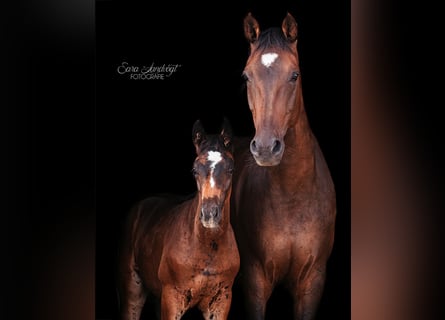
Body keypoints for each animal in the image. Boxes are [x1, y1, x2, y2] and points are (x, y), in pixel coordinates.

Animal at [116, 119, 238, 318]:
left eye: (230, 169)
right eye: (194, 170)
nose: (209, 214)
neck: (206, 246)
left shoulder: (221, 302)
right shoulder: (172, 298)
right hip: (132, 291)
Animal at [231, 12, 334, 320]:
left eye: (294, 75)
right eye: (246, 76)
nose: (266, 148)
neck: (293, 196)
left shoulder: (312, 281)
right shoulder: (255, 282)